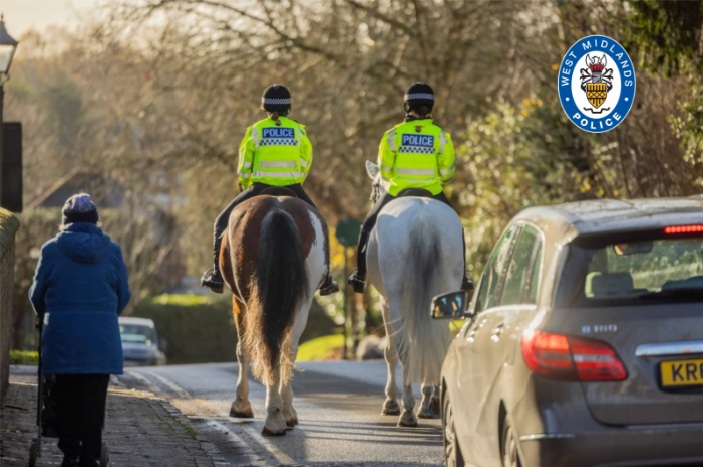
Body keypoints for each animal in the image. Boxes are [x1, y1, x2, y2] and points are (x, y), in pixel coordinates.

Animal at [219, 191, 330, 435]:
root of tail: (277, 210)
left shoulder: (238, 301)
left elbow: (243, 349)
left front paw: (241, 405)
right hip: (301, 301)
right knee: (287, 348)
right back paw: (281, 413)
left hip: (251, 299)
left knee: (263, 346)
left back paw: (275, 416)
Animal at [364, 161, 464, 427]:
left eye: (375, 186)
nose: (372, 197)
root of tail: (423, 219)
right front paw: (431, 399)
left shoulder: (384, 302)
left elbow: (390, 352)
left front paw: (390, 401)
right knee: (439, 342)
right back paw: (429, 402)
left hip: (397, 301)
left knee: (403, 348)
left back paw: (408, 409)